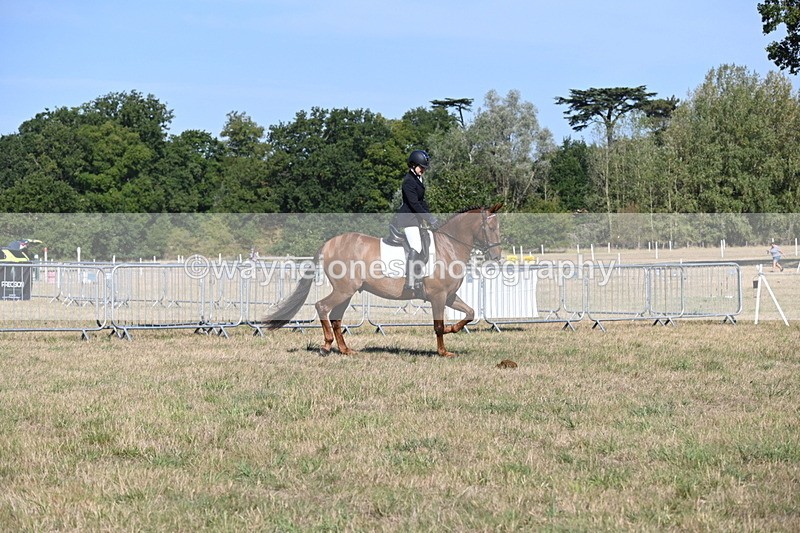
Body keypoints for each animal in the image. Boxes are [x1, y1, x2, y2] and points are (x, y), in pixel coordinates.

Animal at [263, 203, 503, 357]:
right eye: (490, 228)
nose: (496, 256)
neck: (449, 246)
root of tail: (329, 243)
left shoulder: (449, 296)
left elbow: (470, 312)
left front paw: (453, 329)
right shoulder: (438, 296)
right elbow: (438, 325)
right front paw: (443, 351)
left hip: (347, 293)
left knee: (336, 318)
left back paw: (345, 350)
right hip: (344, 290)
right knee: (322, 307)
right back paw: (326, 346)